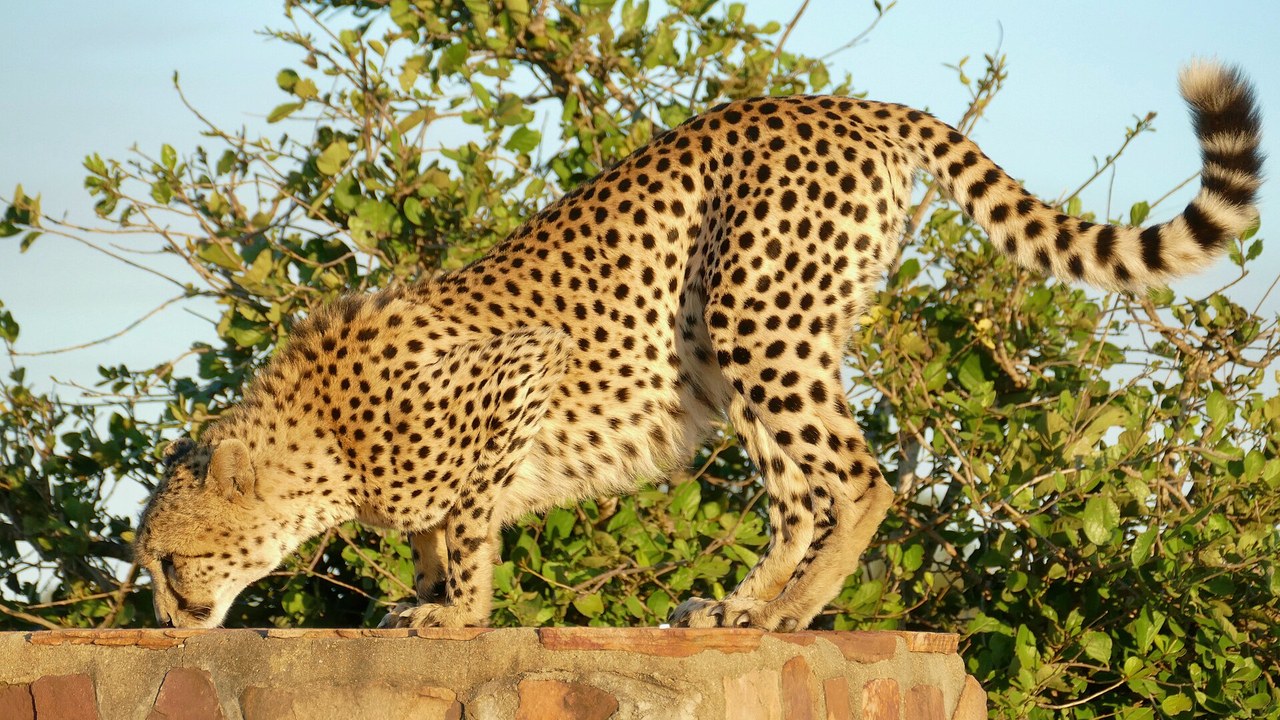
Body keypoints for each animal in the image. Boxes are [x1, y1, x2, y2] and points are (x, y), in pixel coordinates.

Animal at [135, 61, 1261, 631]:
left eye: (167, 558)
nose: (169, 619)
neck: (316, 444)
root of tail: (844, 100)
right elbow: (429, 534)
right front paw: (417, 599)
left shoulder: (519, 373)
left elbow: (465, 524)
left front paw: (453, 615)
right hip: (748, 348)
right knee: (800, 492)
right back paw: (736, 604)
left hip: (754, 319)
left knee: (857, 478)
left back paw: (789, 612)